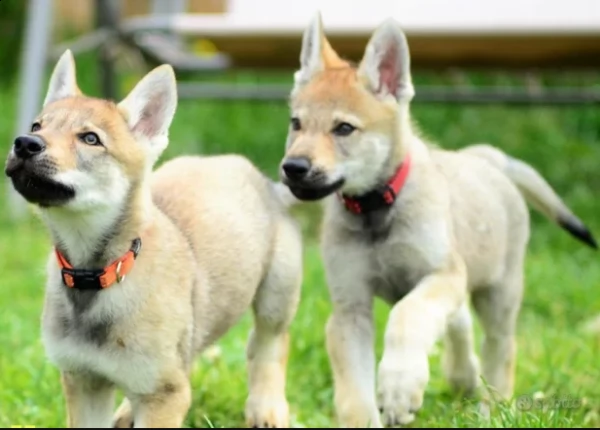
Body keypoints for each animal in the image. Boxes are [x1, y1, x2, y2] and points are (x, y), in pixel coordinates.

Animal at [4, 50, 302, 426]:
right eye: (37, 126)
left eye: (90, 139)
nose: (24, 144)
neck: (99, 275)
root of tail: (252, 171)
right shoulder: (84, 381)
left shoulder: (163, 395)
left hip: (277, 294)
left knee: (268, 345)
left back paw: (267, 408)